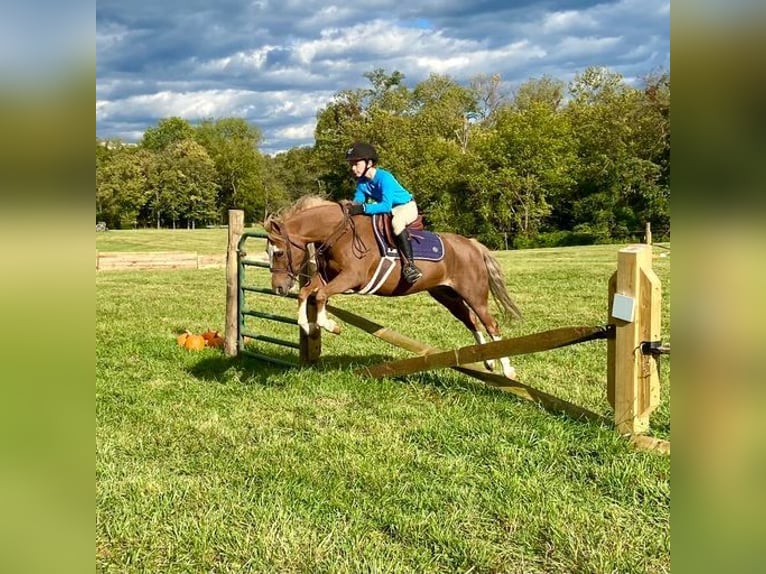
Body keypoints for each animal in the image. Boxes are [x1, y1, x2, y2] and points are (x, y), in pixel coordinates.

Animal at [264, 196, 520, 380]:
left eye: (279, 253)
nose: (278, 288)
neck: (338, 233)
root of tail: (472, 244)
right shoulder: (328, 277)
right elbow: (307, 293)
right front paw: (308, 325)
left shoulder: (351, 278)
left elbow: (320, 296)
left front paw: (330, 326)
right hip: (446, 295)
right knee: (471, 321)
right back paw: (487, 361)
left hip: (474, 293)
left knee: (491, 324)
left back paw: (507, 370)